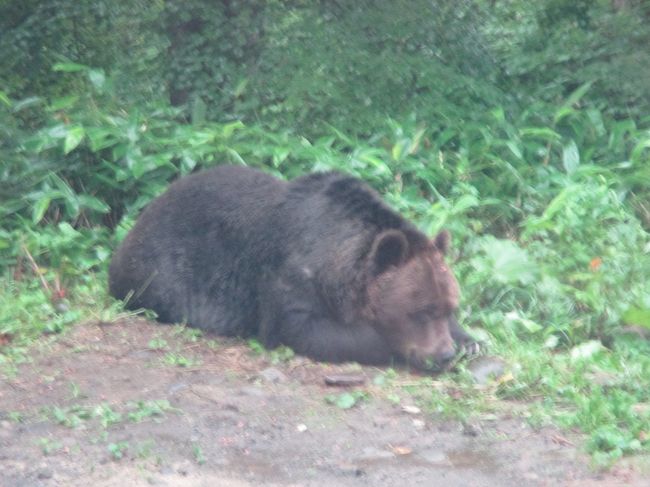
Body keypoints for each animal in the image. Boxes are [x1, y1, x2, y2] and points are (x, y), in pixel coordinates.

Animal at [109, 166, 476, 372]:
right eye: (420, 311)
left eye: (448, 307)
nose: (443, 354)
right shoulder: (290, 279)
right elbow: (306, 329)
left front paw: (469, 341)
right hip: (163, 269)